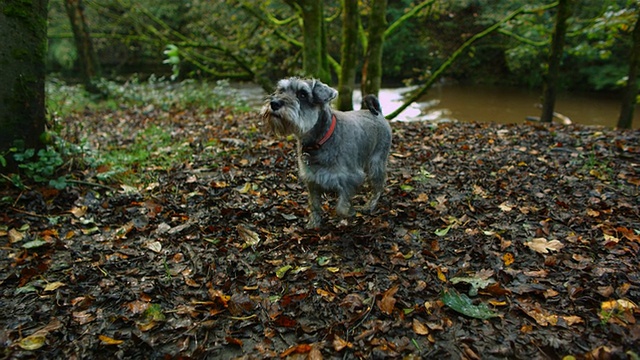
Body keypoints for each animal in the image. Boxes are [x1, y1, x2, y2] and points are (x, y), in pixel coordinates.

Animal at [258, 77, 390, 229]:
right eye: (281, 90)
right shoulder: (312, 181)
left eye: (302, 94)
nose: (274, 103)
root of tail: (378, 113)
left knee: (378, 187)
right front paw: (313, 223)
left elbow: (341, 207)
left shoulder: (352, 177)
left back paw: (370, 205)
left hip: (376, 164)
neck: (320, 140)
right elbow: (314, 205)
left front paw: (348, 214)